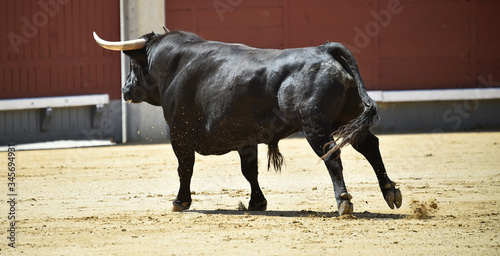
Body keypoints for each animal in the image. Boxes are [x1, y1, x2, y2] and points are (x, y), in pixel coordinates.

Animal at [94, 29, 402, 215]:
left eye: (133, 65)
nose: (124, 89)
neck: (176, 65)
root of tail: (323, 50)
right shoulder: (246, 138)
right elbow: (249, 170)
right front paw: (257, 202)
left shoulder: (179, 134)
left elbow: (185, 168)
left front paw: (180, 201)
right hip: (346, 117)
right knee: (369, 146)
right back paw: (390, 192)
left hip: (315, 125)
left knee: (332, 156)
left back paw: (344, 202)